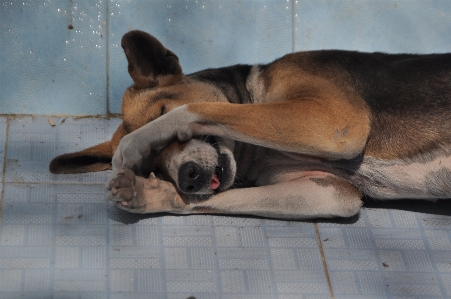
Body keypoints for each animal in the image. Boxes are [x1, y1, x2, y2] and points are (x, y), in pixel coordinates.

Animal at [49, 29, 451, 219]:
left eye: (162, 110)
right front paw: (152, 195)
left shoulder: (336, 121)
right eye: (156, 169)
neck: (257, 152)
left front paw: (131, 145)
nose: (188, 178)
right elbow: (215, 201)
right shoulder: (331, 193)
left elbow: (195, 107)